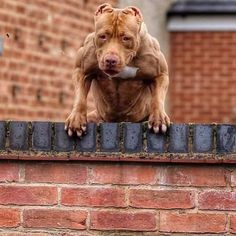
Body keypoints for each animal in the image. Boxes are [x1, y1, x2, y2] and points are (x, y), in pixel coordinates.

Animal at [65, 3, 171, 136]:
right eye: (103, 36)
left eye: (126, 38)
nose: (111, 60)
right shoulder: (82, 70)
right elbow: (80, 97)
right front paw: (76, 118)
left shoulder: (160, 74)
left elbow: (157, 97)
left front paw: (159, 118)